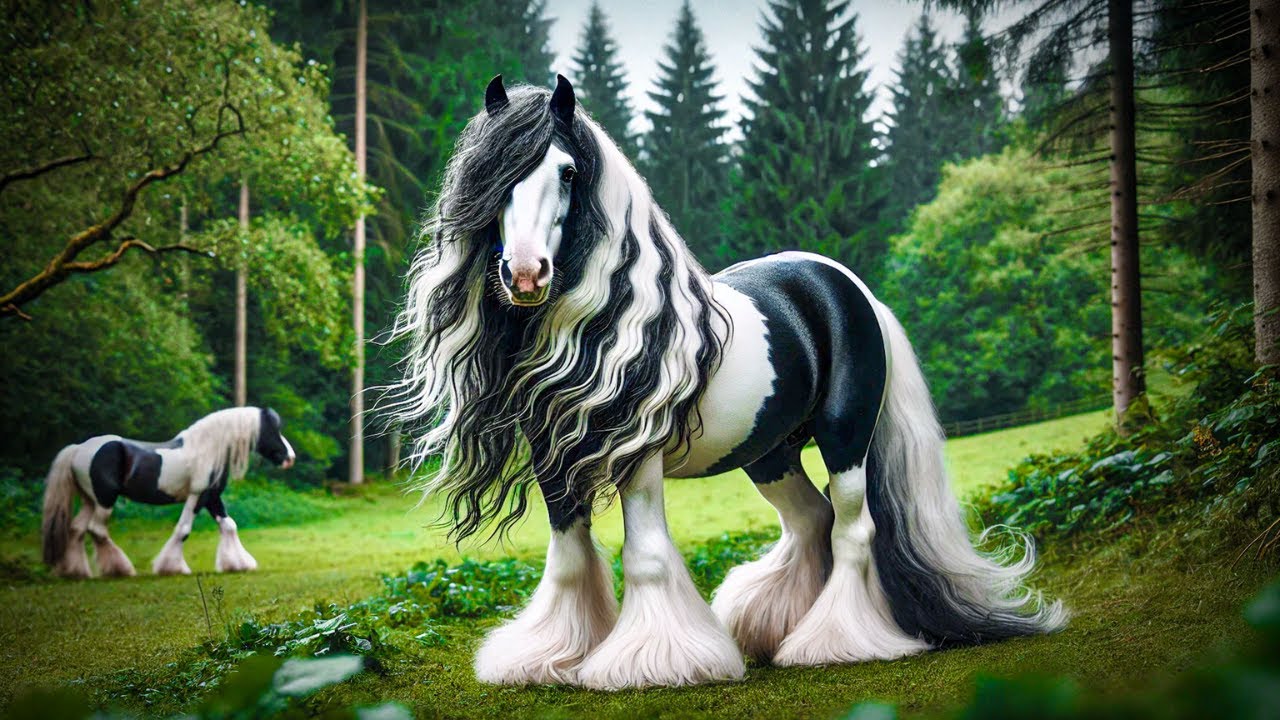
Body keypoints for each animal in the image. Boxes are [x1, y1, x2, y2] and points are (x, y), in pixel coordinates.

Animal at [41, 406, 295, 579]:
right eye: (271, 430)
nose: (290, 458)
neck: (207, 449)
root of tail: (78, 449)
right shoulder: (198, 495)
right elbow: (183, 530)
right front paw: (172, 567)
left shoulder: (211, 496)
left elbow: (229, 525)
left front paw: (238, 564)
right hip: (105, 500)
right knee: (97, 530)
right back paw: (120, 569)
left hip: (89, 500)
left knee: (77, 530)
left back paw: (76, 571)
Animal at [382, 75, 1067, 691]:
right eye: (491, 176)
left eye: (569, 172)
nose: (526, 274)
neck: (610, 326)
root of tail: (847, 285)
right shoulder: (554, 457)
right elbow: (569, 557)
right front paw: (548, 658)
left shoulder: (638, 459)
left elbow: (645, 556)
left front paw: (654, 664)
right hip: (769, 453)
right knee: (811, 521)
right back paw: (771, 629)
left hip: (845, 439)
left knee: (852, 528)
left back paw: (834, 643)